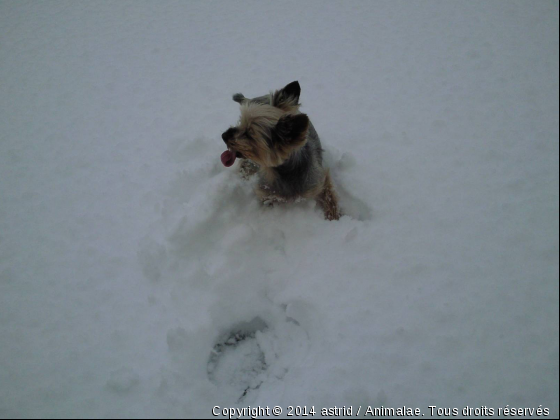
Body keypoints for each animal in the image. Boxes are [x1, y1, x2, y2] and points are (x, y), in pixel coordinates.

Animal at [221, 80, 340, 221]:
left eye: (249, 134)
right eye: (240, 123)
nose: (223, 135)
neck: (285, 171)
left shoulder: (318, 183)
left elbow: (329, 197)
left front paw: (334, 218)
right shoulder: (266, 193)